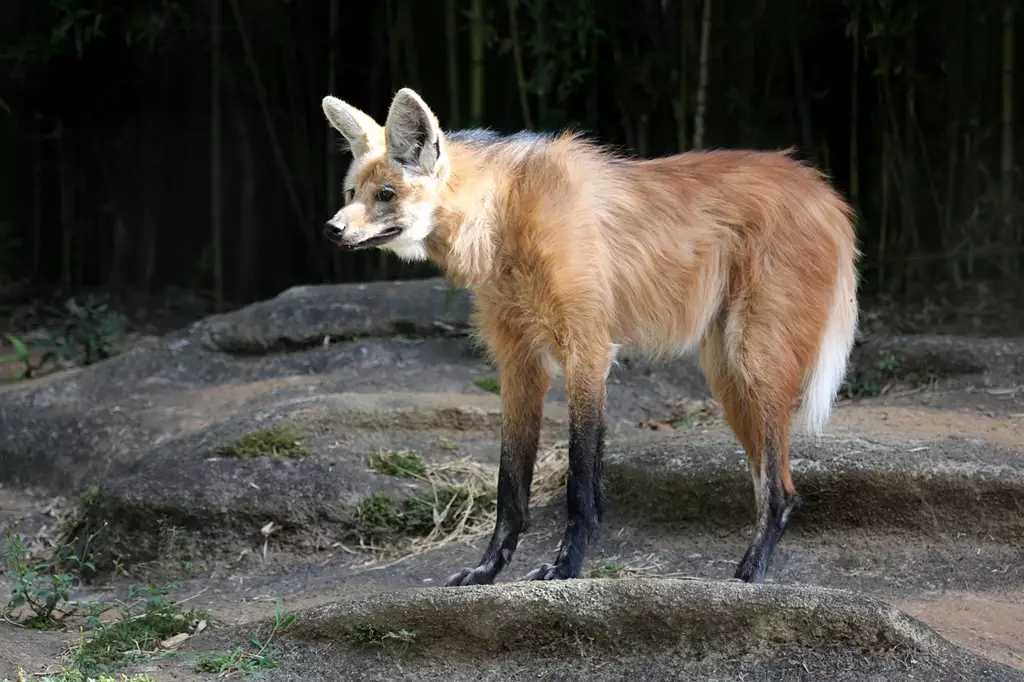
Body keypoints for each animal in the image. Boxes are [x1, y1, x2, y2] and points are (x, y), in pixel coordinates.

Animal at [319, 84, 856, 585]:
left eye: (386, 194)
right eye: (350, 194)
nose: (331, 229)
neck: (504, 216)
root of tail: (824, 189)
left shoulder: (587, 349)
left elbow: (580, 483)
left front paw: (565, 568)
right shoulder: (519, 362)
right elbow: (509, 486)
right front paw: (486, 572)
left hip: (753, 359)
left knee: (782, 491)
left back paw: (750, 573)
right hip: (727, 376)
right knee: (769, 481)